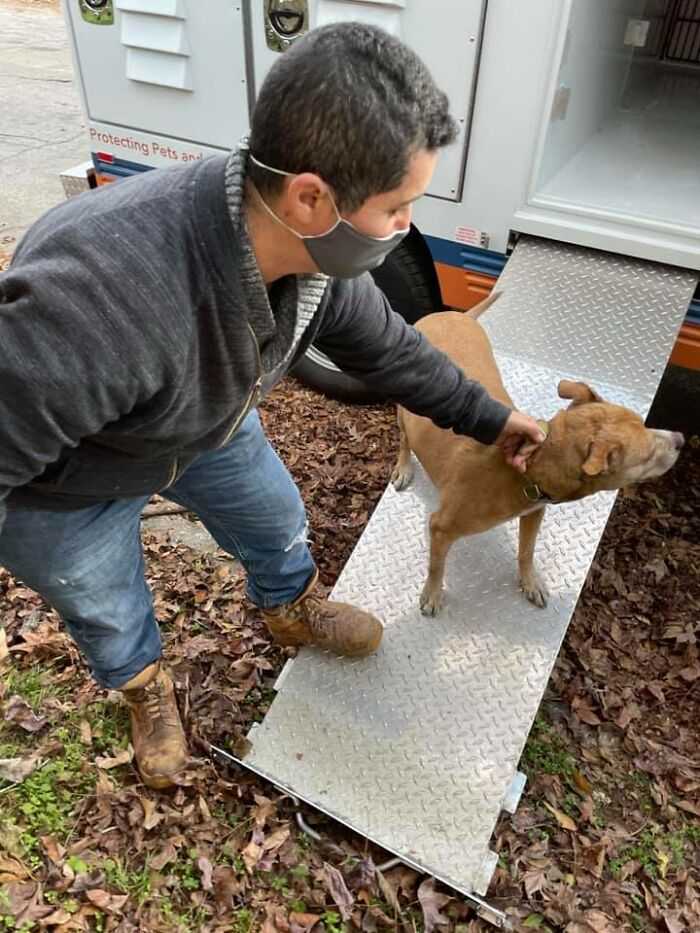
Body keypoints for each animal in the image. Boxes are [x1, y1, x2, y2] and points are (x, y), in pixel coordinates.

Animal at [392, 292, 688, 612]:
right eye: (647, 454)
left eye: (646, 425)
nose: (681, 438)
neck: (527, 471)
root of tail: (455, 314)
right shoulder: (440, 528)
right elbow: (436, 566)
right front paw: (433, 594)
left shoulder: (534, 513)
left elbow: (527, 551)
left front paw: (530, 582)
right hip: (404, 409)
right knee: (405, 439)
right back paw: (403, 467)